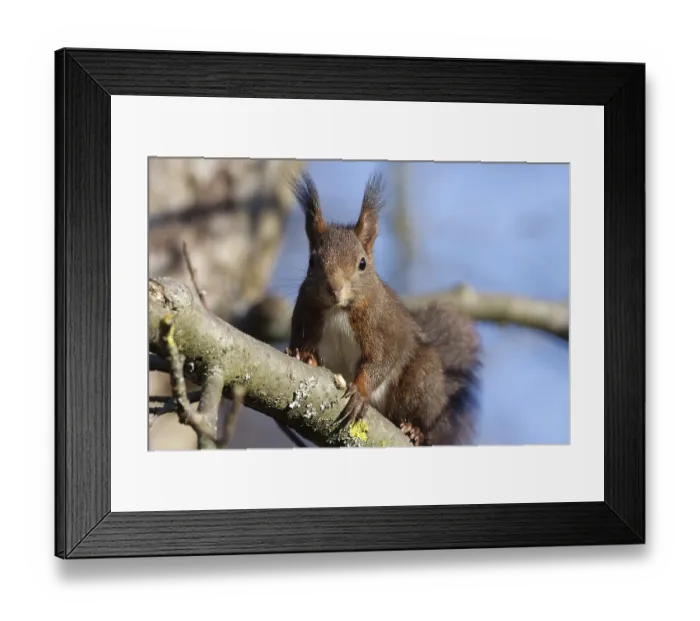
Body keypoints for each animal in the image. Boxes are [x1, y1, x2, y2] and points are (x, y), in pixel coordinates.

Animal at [285, 171, 480, 446]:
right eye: (312, 261)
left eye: (362, 264)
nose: (335, 289)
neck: (338, 311)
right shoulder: (305, 317)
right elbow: (304, 345)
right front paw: (303, 356)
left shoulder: (383, 329)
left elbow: (380, 360)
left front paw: (360, 392)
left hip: (423, 380)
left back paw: (415, 430)